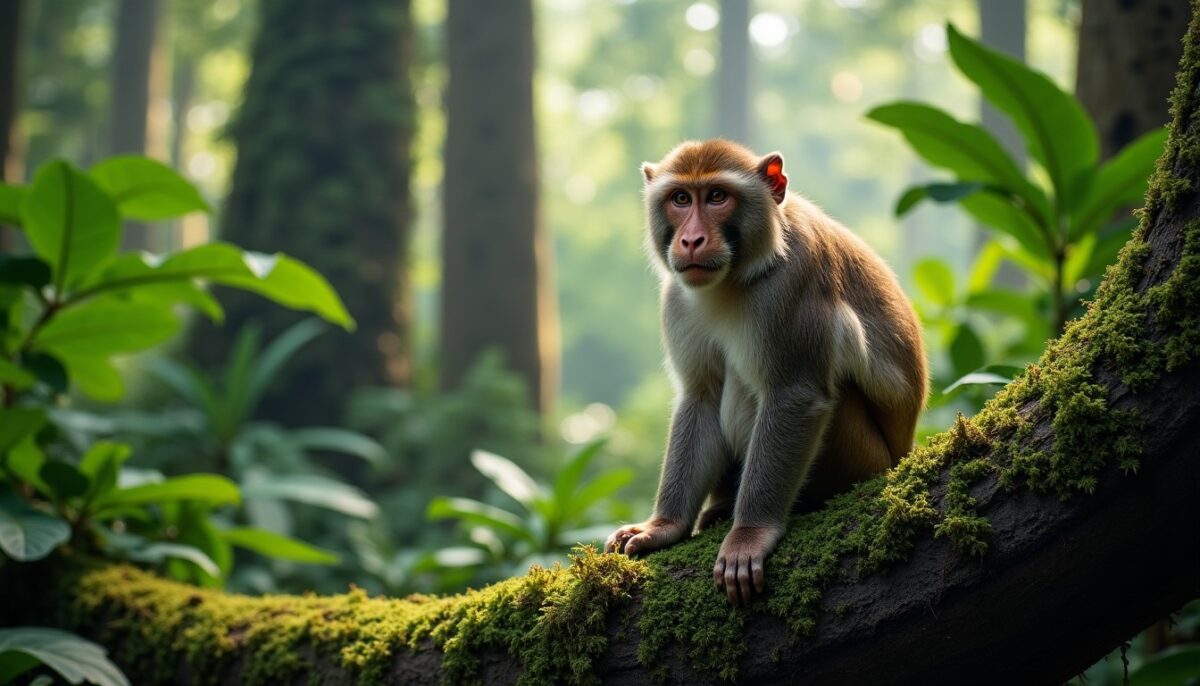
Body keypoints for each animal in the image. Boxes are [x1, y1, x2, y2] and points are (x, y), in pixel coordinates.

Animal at [604, 140, 927, 606]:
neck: (737, 274)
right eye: (680, 198)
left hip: (863, 457)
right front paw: (664, 526)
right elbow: (701, 395)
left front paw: (750, 534)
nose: (691, 239)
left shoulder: (794, 282)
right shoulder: (677, 298)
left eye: (716, 196)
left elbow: (794, 395)